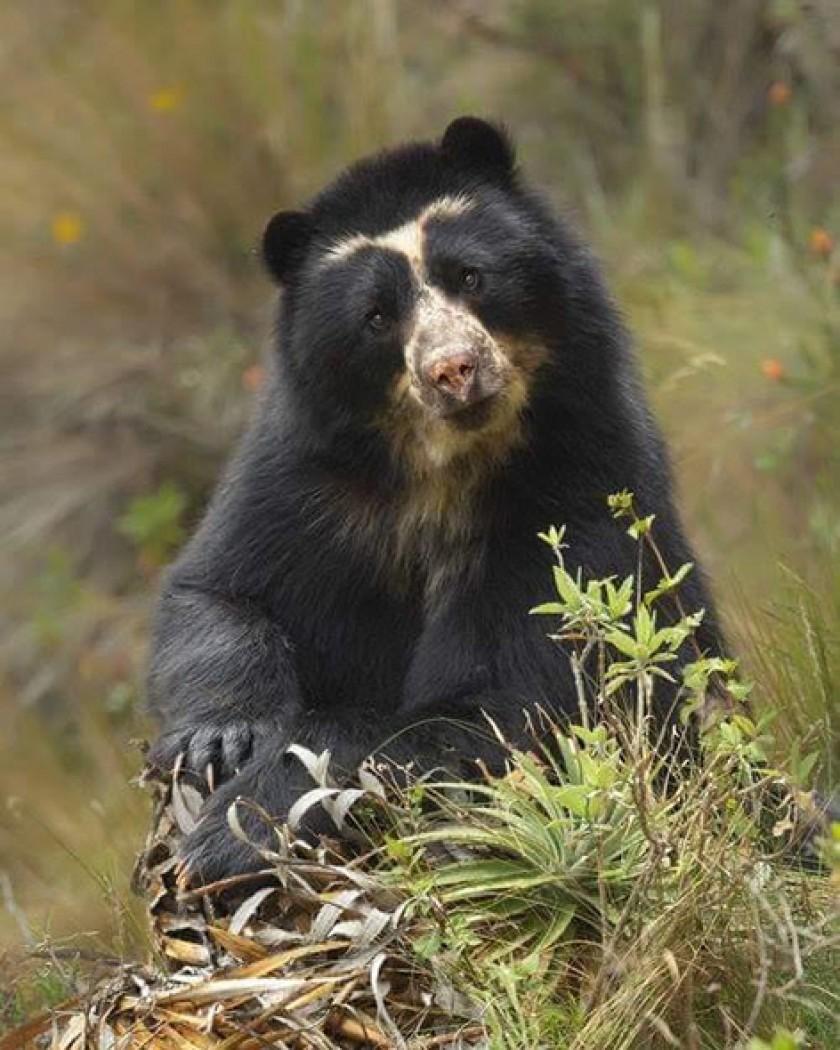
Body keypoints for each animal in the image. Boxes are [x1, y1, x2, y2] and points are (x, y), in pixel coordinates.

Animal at [147, 117, 724, 883]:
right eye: (376, 316)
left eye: (471, 276)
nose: (454, 370)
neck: (439, 467)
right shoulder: (305, 483)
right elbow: (222, 590)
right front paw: (219, 740)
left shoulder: (572, 488)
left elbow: (505, 702)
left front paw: (229, 833)